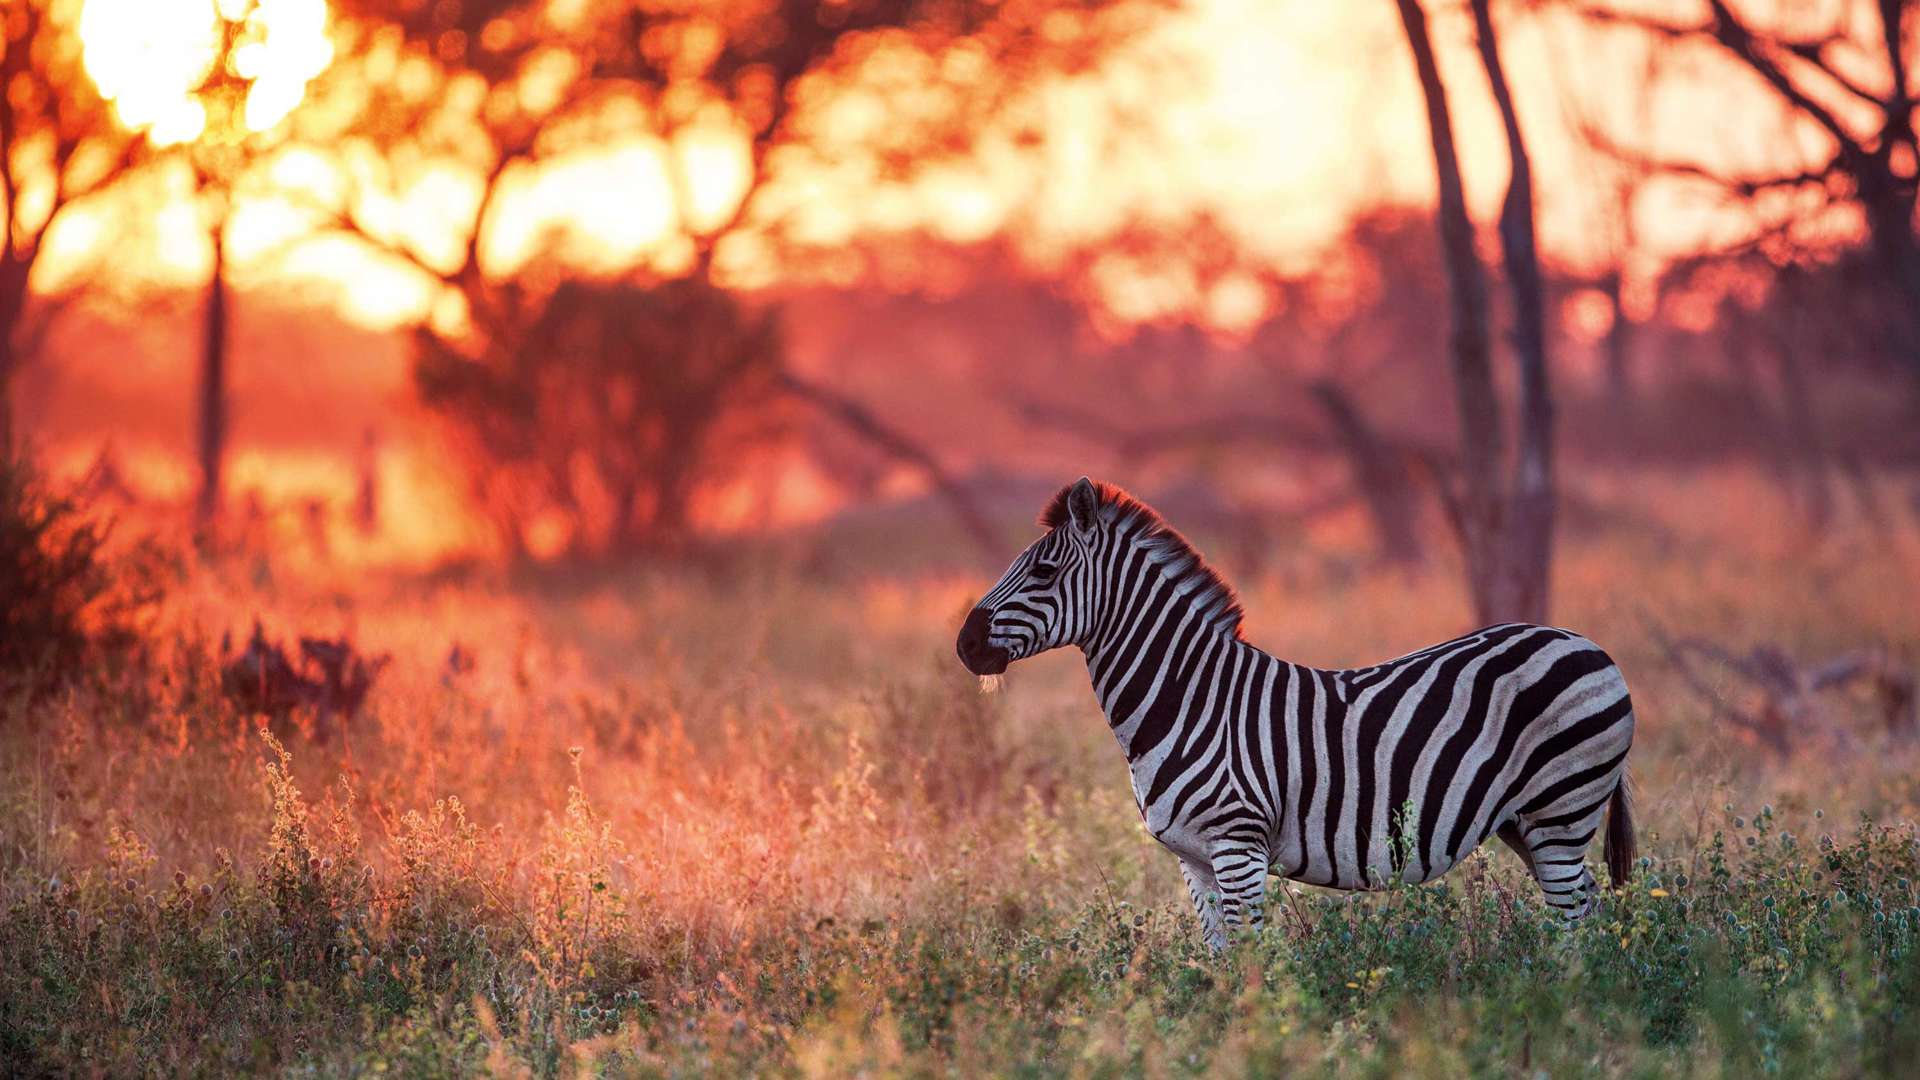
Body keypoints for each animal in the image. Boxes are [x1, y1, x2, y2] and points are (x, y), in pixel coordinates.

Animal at [960, 474, 1635, 945]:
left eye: (1045, 570)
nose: (964, 644)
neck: (1189, 698)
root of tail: (1586, 642)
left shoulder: (1238, 846)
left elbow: (1253, 958)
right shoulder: (1193, 860)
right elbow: (1219, 960)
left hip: (1561, 807)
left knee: (1575, 920)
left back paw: (1570, 1004)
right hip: (1525, 820)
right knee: (1589, 909)